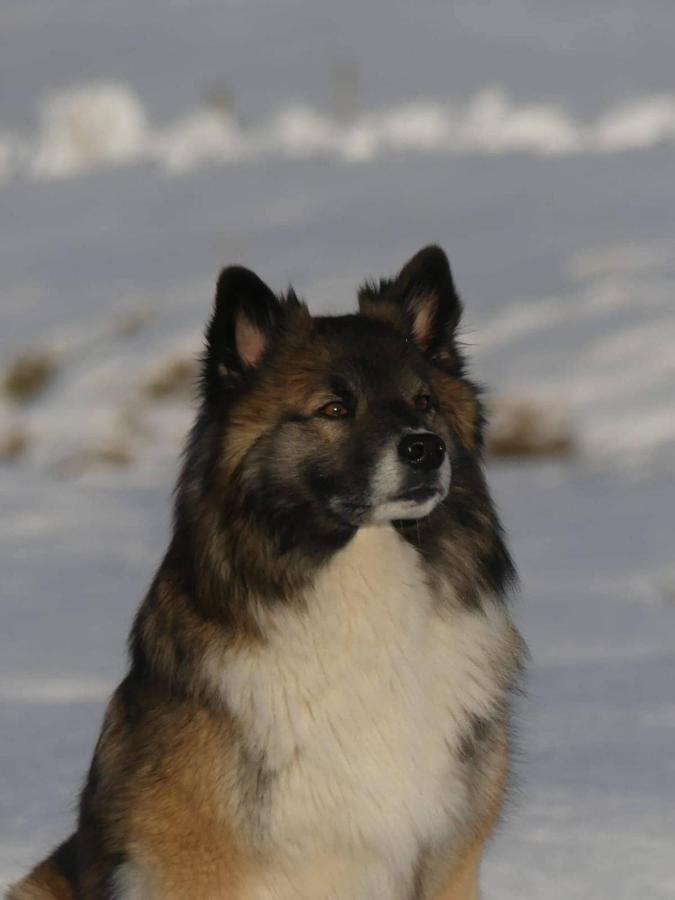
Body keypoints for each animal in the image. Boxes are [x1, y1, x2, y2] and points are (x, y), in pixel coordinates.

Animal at [11, 246, 528, 900]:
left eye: (425, 402)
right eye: (334, 409)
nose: (425, 449)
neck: (361, 588)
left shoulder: (449, 859)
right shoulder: (195, 863)